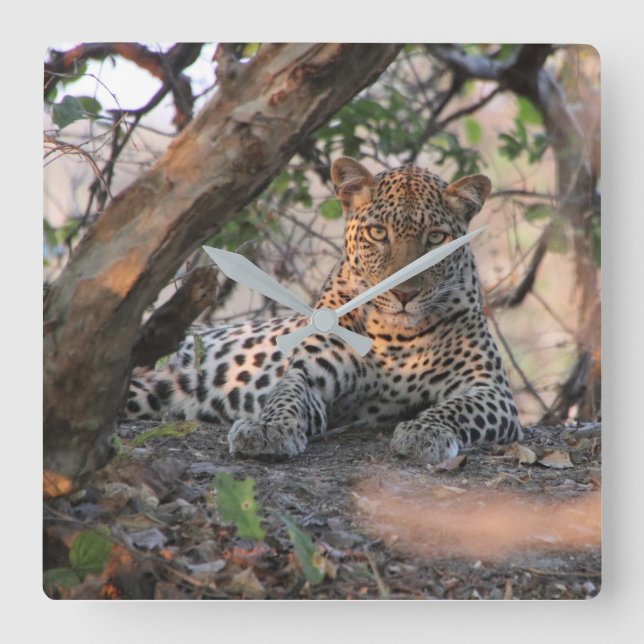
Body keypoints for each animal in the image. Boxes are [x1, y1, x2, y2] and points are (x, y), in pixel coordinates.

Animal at [124, 157, 522, 464]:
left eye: (437, 238)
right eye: (379, 233)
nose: (404, 293)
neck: (395, 336)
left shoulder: (490, 389)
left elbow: (454, 409)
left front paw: (423, 432)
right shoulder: (308, 373)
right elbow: (286, 397)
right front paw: (267, 430)